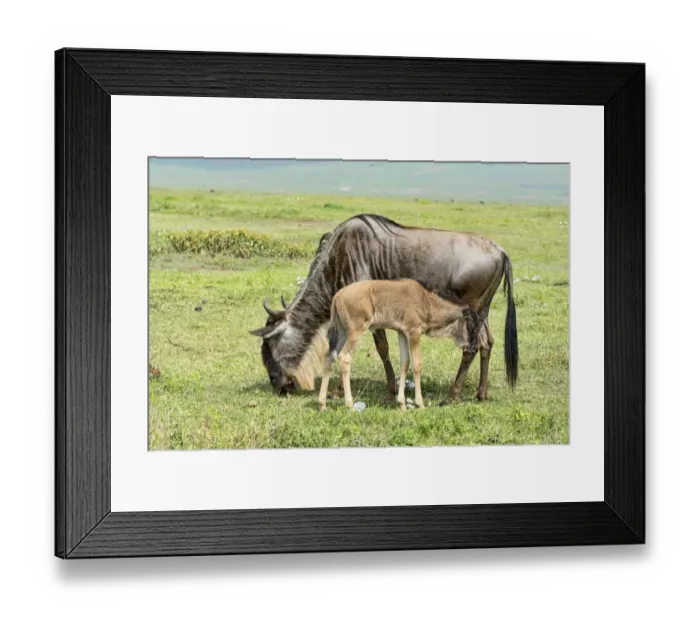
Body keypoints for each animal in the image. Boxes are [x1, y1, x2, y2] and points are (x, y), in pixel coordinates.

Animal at [318, 279, 481, 411]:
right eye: (472, 326)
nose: (473, 347)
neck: (426, 302)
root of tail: (338, 296)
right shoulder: (414, 332)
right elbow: (417, 364)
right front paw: (419, 403)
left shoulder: (402, 332)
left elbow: (405, 363)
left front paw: (402, 404)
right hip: (355, 332)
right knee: (345, 358)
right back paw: (350, 404)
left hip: (342, 333)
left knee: (330, 357)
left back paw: (322, 404)